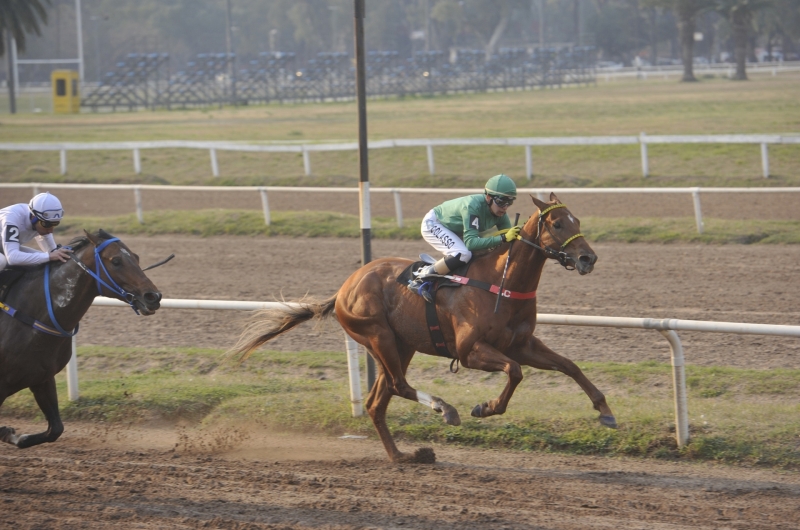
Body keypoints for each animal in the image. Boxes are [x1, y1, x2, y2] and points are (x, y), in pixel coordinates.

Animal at [0, 229, 162, 448]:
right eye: (116, 261)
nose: (153, 296)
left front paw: (12, 435)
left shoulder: (41, 378)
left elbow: (55, 429)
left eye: (136, 257)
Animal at [228, 195, 616, 462]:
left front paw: (605, 411)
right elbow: (515, 372)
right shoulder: (471, 351)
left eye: (576, 219)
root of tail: (343, 289)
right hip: (378, 336)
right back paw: (445, 410)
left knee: (377, 402)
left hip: (401, 345)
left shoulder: (522, 344)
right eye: (558, 225)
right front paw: (485, 407)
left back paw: (403, 456)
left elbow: (568, 366)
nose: (589, 258)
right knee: (398, 386)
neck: (502, 282)